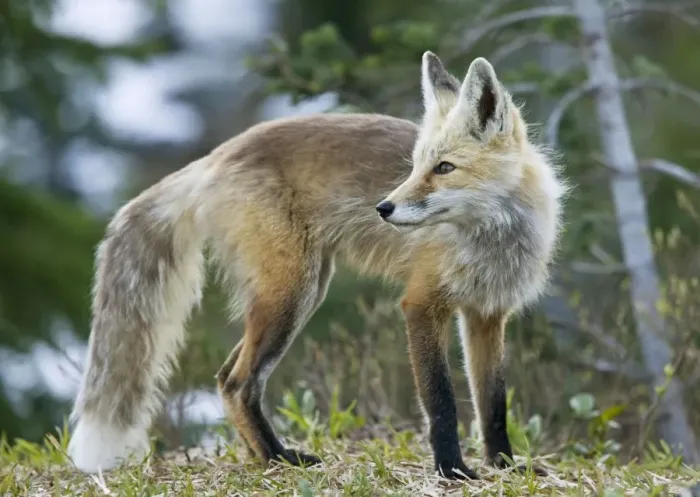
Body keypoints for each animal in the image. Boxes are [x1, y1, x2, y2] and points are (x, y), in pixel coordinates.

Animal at [67, 52, 565, 479]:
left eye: (444, 167)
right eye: (414, 166)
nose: (383, 208)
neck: (492, 243)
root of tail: (218, 155)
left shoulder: (487, 313)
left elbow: (493, 404)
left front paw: (504, 466)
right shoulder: (422, 304)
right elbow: (441, 402)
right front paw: (452, 471)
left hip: (297, 292)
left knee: (226, 377)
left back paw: (265, 456)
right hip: (292, 294)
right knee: (237, 381)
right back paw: (279, 459)